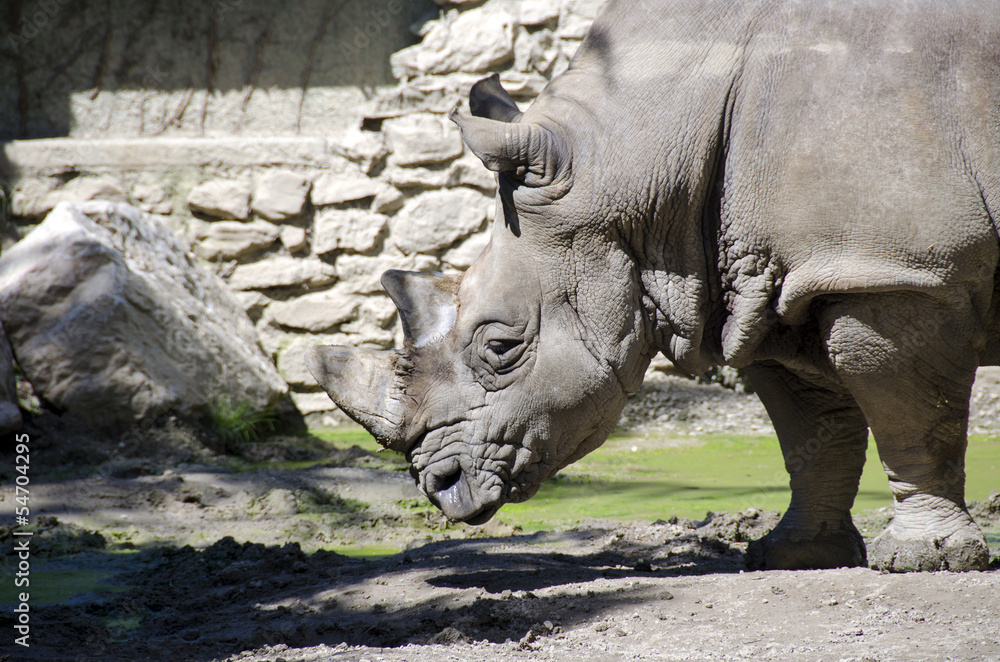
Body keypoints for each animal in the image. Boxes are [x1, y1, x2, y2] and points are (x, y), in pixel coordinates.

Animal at [309, 0, 1000, 572]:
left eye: (500, 348)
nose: (441, 485)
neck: (634, 154)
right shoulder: (777, 283)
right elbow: (811, 427)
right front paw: (793, 555)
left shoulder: (893, 271)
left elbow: (909, 413)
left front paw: (924, 560)